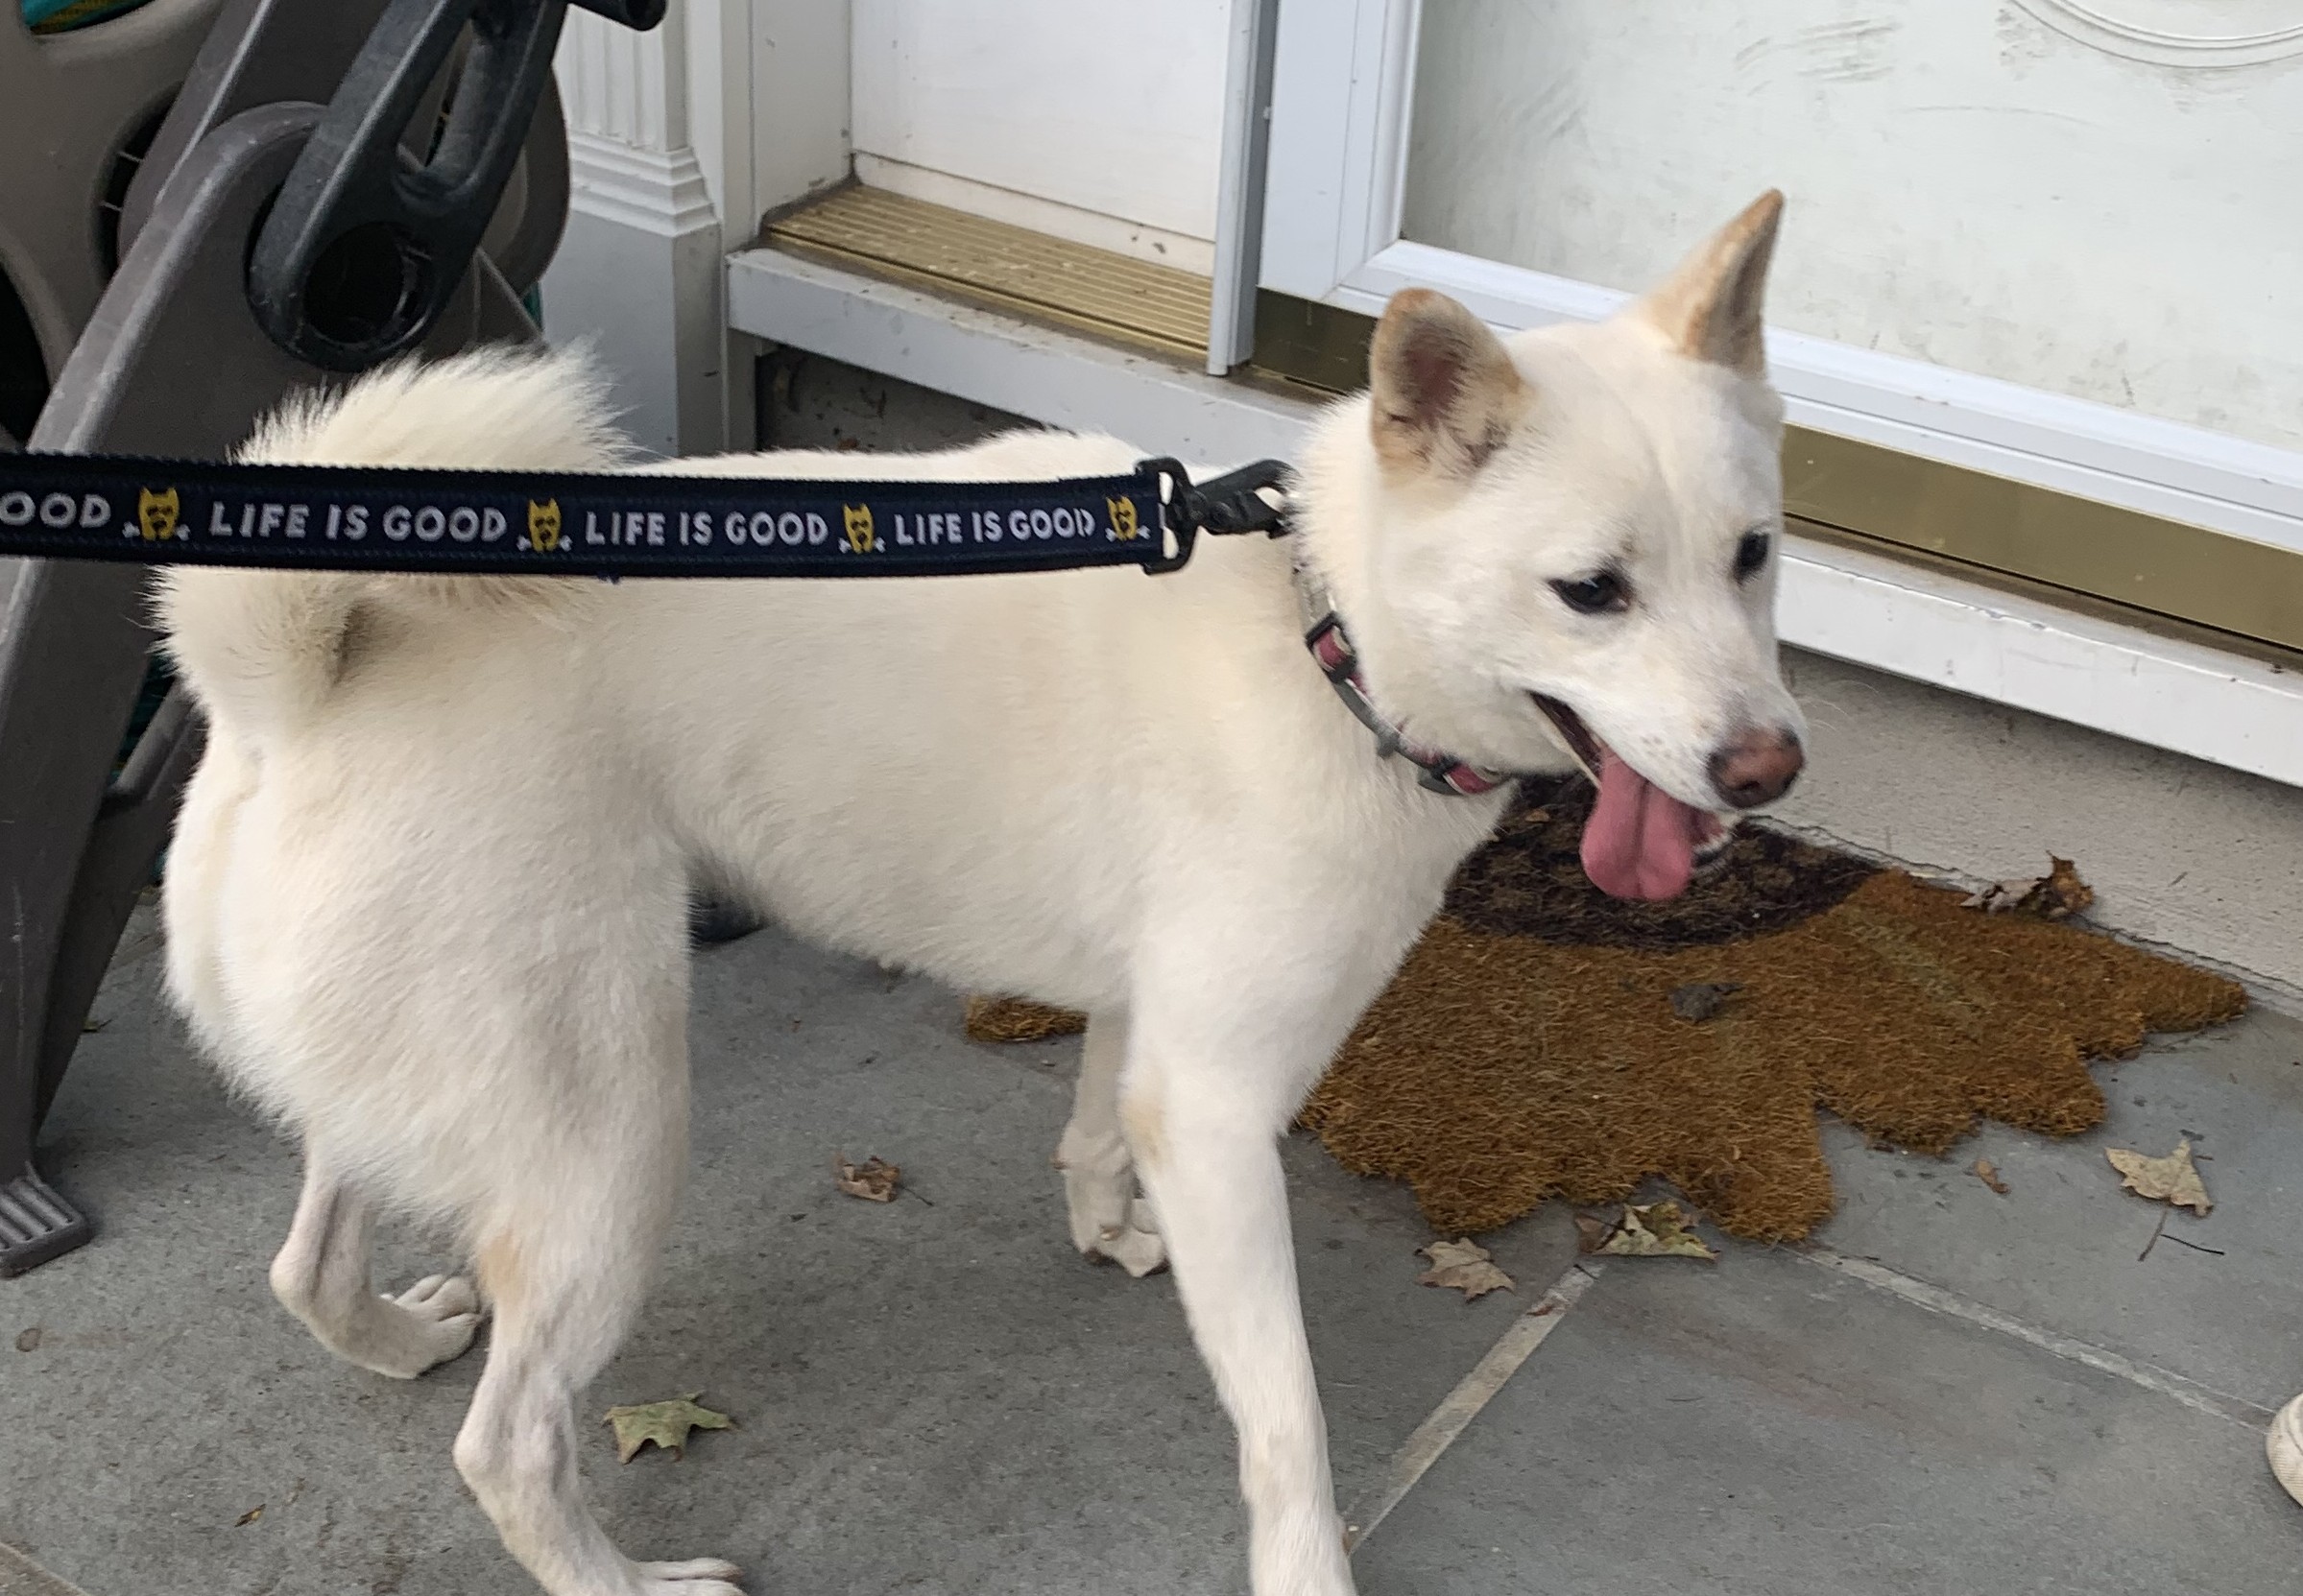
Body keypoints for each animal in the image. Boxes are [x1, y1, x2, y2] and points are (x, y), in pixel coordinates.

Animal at [156, 191, 1803, 1596]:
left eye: (1754, 555)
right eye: (1589, 590)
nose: (1769, 763)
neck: (1317, 627)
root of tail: (287, 689)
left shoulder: (1149, 1034)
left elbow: (1089, 1130)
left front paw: (1103, 1229)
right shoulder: (1220, 1107)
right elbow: (1283, 1412)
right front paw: (1303, 1564)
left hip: (426, 1075)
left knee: (306, 1261)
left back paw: (386, 1336)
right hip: (603, 1143)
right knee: (506, 1446)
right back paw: (623, 1578)